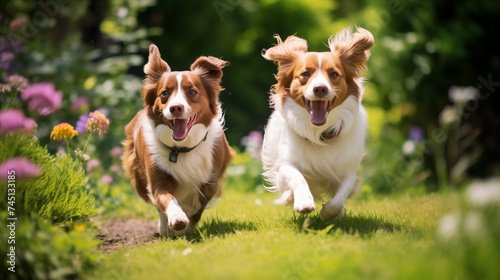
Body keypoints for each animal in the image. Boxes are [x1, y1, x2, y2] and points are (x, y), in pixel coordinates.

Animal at [124, 45, 235, 236]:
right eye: (165, 93)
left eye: (192, 92)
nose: (176, 108)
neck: (181, 148)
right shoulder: (157, 180)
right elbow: (166, 198)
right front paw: (177, 219)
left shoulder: (210, 180)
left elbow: (199, 206)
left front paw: (188, 226)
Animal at [262, 27, 372, 220]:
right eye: (305, 74)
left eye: (334, 74)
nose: (320, 88)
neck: (319, 132)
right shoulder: (285, 163)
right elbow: (298, 177)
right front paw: (303, 202)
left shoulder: (348, 170)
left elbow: (340, 196)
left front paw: (328, 213)